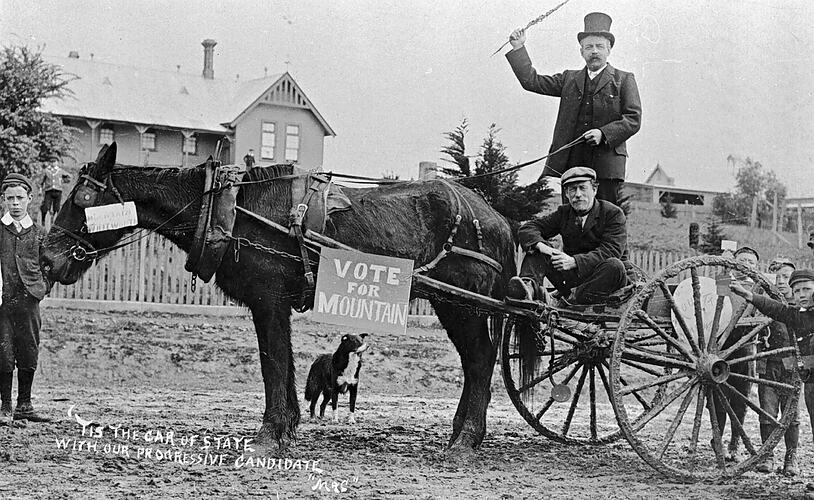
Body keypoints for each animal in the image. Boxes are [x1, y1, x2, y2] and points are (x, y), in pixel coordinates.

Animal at [41, 144, 516, 454]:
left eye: (82, 198)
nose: (47, 258)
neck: (233, 209)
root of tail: (494, 216)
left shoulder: (268, 300)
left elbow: (272, 362)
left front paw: (269, 437)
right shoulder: (275, 303)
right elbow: (282, 365)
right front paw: (285, 429)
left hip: (461, 306)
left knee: (479, 362)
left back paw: (466, 438)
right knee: (476, 364)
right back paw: (461, 431)